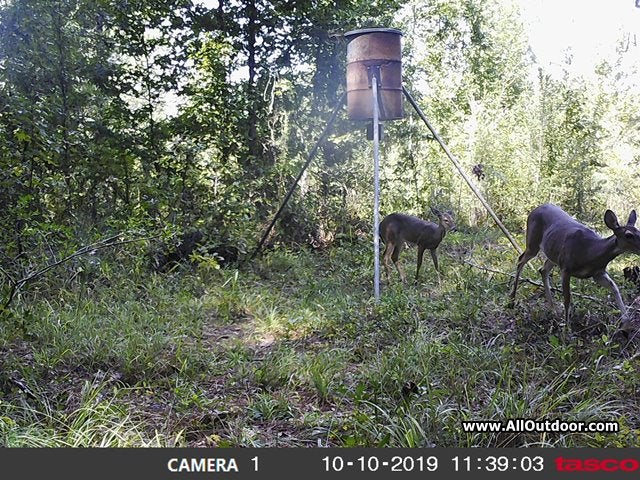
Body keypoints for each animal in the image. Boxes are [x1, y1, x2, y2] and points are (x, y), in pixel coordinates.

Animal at [512, 202, 640, 322]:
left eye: (639, 231)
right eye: (628, 235)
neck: (590, 253)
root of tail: (535, 209)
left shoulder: (598, 273)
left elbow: (615, 288)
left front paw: (626, 320)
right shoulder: (566, 268)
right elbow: (567, 298)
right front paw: (567, 328)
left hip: (553, 254)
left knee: (543, 270)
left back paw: (553, 309)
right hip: (533, 242)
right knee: (520, 260)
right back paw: (512, 300)